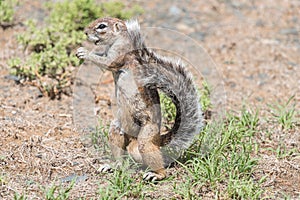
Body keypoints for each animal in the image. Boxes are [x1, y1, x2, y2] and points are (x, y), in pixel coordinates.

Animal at [77, 16, 204, 180]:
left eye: (102, 26)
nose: (85, 32)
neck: (117, 40)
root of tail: (158, 140)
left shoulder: (119, 55)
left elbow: (106, 63)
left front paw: (84, 52)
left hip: (146, 138)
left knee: (159, 164)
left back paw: (156, 175)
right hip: (117, 130)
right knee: (120, 153)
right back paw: (113, 166)